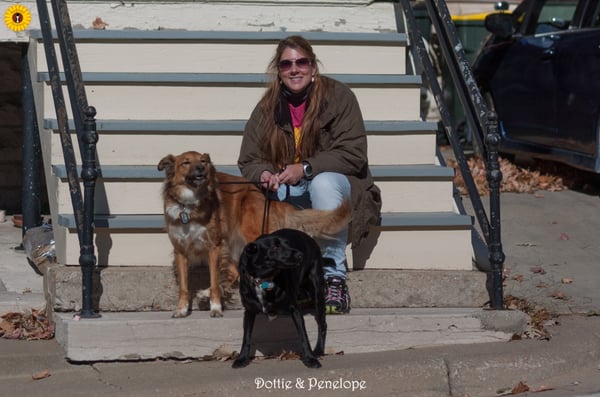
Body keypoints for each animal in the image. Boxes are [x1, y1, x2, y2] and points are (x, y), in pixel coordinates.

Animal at [157, 150, 350, 318]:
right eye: (185, 162)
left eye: (203, 161)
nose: (201, 169)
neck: (189, 205)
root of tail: (267, 199)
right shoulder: (181, 250)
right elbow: (184, 286)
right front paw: (181, 309)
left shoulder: (214, 246)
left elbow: (214, 279)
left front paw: (216, 308)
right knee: (234, 271)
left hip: (253, 238)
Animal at [234, 227, 328, 370]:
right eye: (275, 246)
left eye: (288, 244)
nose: (300, 255)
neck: (264, 280)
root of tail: (310, 238)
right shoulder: (249, 311)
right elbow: (246, 337)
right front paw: (242, 358)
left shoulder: (295, 309)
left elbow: (303, 336)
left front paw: (310, 358)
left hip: (317, 291)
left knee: (322, 324)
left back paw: (319, 350)